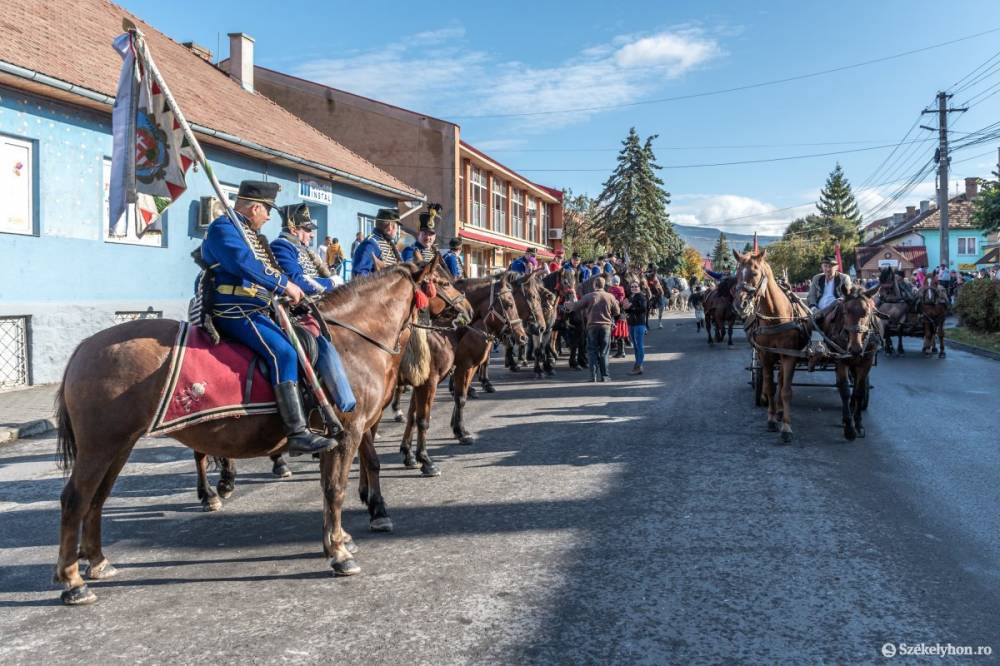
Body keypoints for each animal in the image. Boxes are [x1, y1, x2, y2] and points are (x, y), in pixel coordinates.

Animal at [53, 262, 438, 604]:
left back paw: (98, 562)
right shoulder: (347, 434)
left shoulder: (343, 435)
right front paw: (339, 552)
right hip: (99, 446)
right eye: (442, 281)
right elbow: (335, 489)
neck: (351, 341)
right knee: (75, 499)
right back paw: (73, 582)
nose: (453, 322)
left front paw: (340, 538)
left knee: (97, 498)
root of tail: (84, 348)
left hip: (119, 445)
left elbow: (333, 487)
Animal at [736, 249, 812, 440]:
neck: (775, 316)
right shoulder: (766, 354)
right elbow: (770, 386)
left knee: (783, 380)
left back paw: (780, 410)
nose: (740, 304)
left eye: (755, 273)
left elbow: (786, 390)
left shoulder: (789, 355)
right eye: (737, 274)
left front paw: (786, 426)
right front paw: (770, 419)